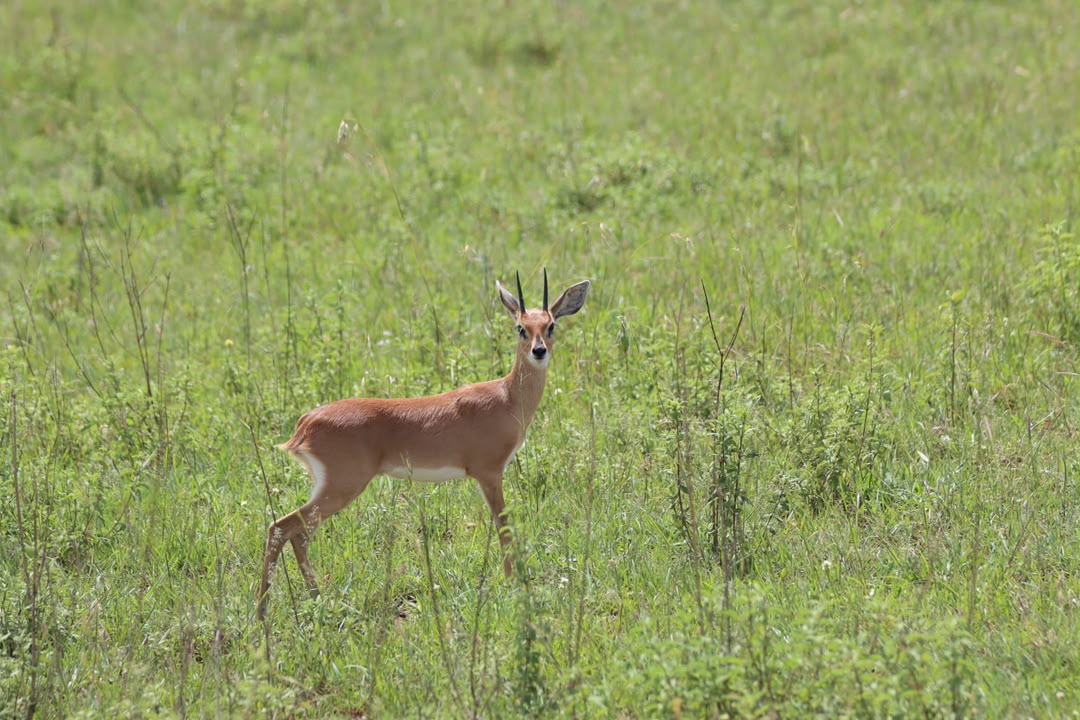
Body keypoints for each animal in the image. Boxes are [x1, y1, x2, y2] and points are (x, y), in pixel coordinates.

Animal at [257, 270, 590, 619]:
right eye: (520, 328)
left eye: (550, 325)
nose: (539, 351)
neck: (507, 398)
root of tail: (304, 423)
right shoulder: (489, 472)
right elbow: (504, 526)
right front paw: (513, 584)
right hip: (342, 486)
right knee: (281, 528)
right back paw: (265, 612)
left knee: (296, 534)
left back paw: (311, 599)